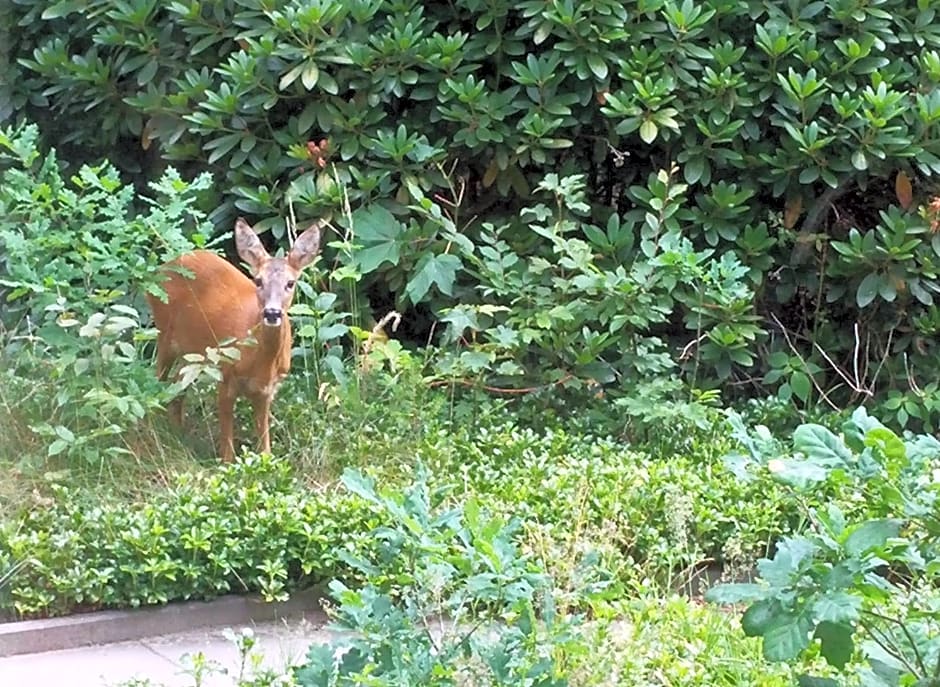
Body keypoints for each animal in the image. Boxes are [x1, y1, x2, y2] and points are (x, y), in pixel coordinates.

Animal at [147, 216, 324, 462]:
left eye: (290, 283)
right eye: (258, 280)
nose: (272, 313)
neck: (260, 363)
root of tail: (164, 265)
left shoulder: (267, 390)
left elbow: (265, 445)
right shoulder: (225, 373)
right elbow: (228, 446)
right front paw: (226, 464)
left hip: (195, 355)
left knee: (177, 386)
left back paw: (179, 433)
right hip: (164, 332)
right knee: (160, 380)